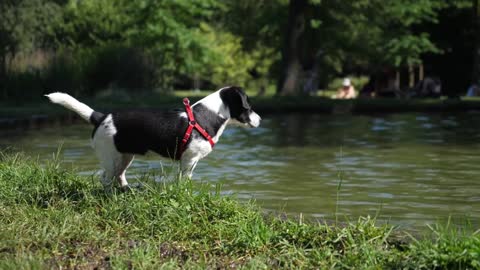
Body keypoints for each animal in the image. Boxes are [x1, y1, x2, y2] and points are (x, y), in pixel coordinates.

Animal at [45, 86, 260, 188]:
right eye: (248, 106)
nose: (260, 119)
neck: (207, 116)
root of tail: (100, 117)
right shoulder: (189, 160)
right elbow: (184, 181)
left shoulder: (191, 161)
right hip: (110, 158)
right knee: (105, 178)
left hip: (125, 156)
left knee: (119, 175)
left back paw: (126, 190)